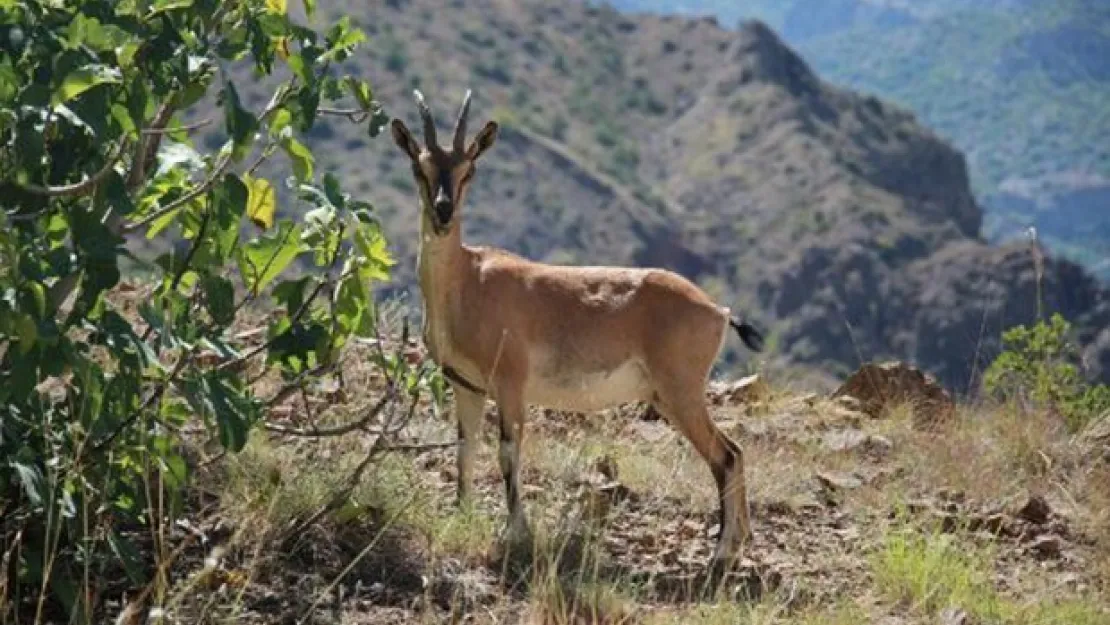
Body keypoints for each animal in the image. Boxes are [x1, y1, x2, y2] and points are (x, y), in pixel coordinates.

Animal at [388, 89, 763, 572]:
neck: (469, 280)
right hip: (669, 397)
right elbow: (464, 449)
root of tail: (717, 310)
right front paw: (461, 515)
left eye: (469, 168)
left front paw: (516, 533)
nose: (443, 213)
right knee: (733, 454)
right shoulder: (466, 387)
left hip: (682, 394)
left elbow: (508, 452)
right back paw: (737, 545)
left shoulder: (510, 386)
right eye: (420, 166)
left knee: (727, 455)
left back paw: (720, 555)